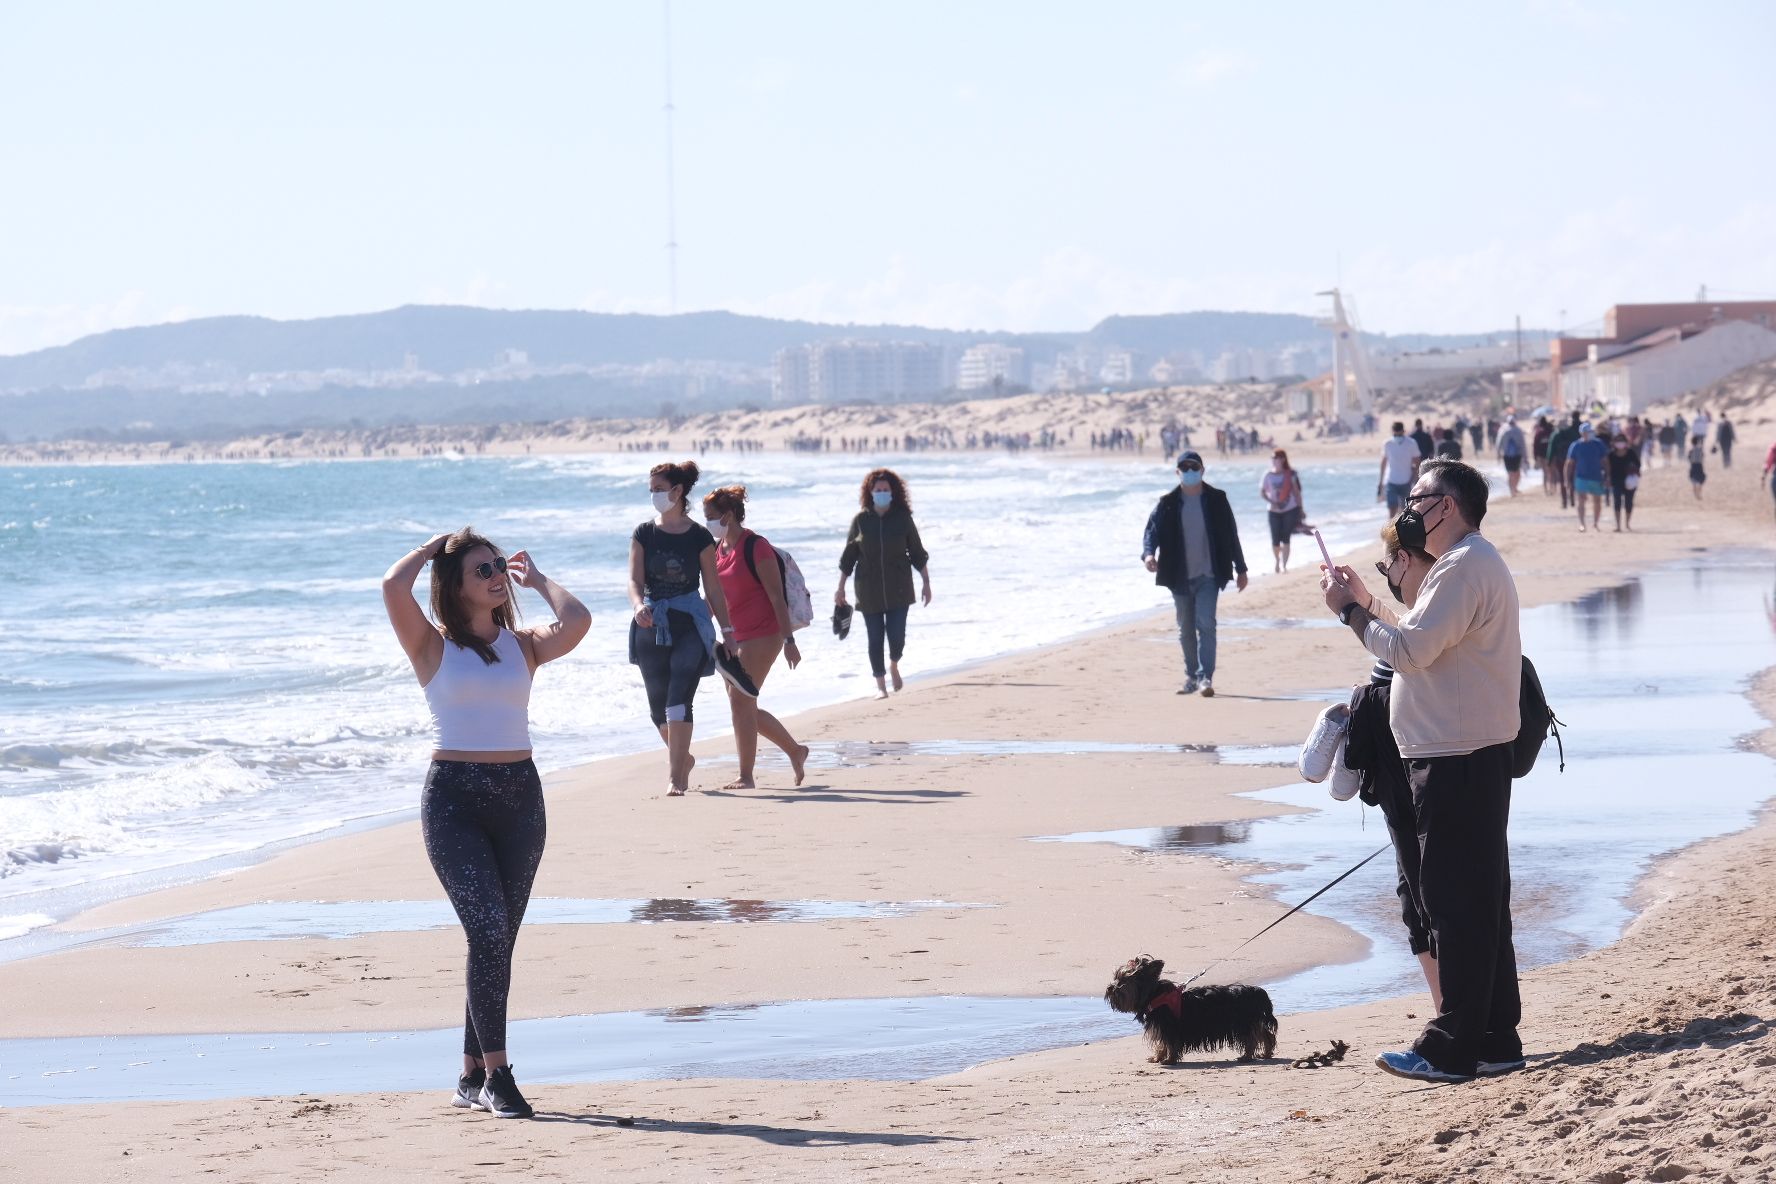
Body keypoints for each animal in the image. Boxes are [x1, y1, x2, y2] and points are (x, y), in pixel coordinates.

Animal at [1108, 951, 1278, 1065]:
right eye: (1116, 977)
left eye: (1124, 980)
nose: (1110, 988)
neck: (1153, 994)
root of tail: (1256, 991)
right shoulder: (1163, 1027)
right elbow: (1162, 1044)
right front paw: (1158, 1057)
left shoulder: (1169, 1027)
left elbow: (1170, 1043)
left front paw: (1169, 1060)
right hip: (1250, 1020)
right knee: (1265, 1034)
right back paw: (1265, 1053)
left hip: (1242, 1022)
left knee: (1252, 1038)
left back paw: (1246, 1056)